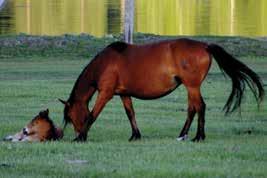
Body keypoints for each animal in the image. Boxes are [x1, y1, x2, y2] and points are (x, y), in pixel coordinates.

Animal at [59, 38, 266, 142]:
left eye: (70, 116)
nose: (76, 133)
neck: (106, 63)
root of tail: (205, 46)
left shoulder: (106, 94)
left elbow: (93, 114)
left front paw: (81, 137)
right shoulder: (124, 94)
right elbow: (130, 113)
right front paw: (135, 135)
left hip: (192, 87)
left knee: (200, 107)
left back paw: (198, 137)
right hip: (190, 88)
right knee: (192, 109)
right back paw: (182, 135)